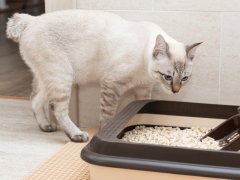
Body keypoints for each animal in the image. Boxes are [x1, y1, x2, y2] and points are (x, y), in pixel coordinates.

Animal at [6, 9, 201, 142]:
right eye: (168, 77)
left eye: (184, 78)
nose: (176, 91)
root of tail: (31, 20)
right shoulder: (112, 84)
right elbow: (108, 115)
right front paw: (106, 131)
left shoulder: (142, 89)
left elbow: (143, 109)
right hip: (62, 76)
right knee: (58, 109)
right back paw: (76, 134)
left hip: (47, 78)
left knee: (35, 99)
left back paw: (45, 126)